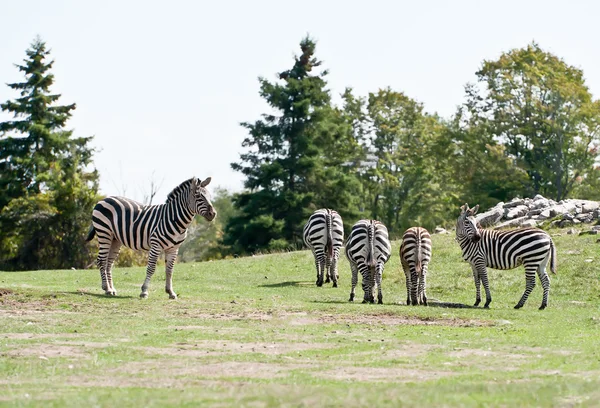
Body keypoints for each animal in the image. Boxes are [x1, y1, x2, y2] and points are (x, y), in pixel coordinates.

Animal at [84, 177, 216, 298]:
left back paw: (111, 289)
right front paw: (144, 291)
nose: (213, 214)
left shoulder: (173, 249)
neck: (174, 219)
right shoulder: (156, 245)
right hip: (104, 233)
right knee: (101, 260)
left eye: (209, 196)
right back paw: (106, 288)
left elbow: (169, 270)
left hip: (115, 239)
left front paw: (171, 292)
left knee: (109, 262)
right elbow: (151, 268)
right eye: (198, 196)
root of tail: (103, 199)